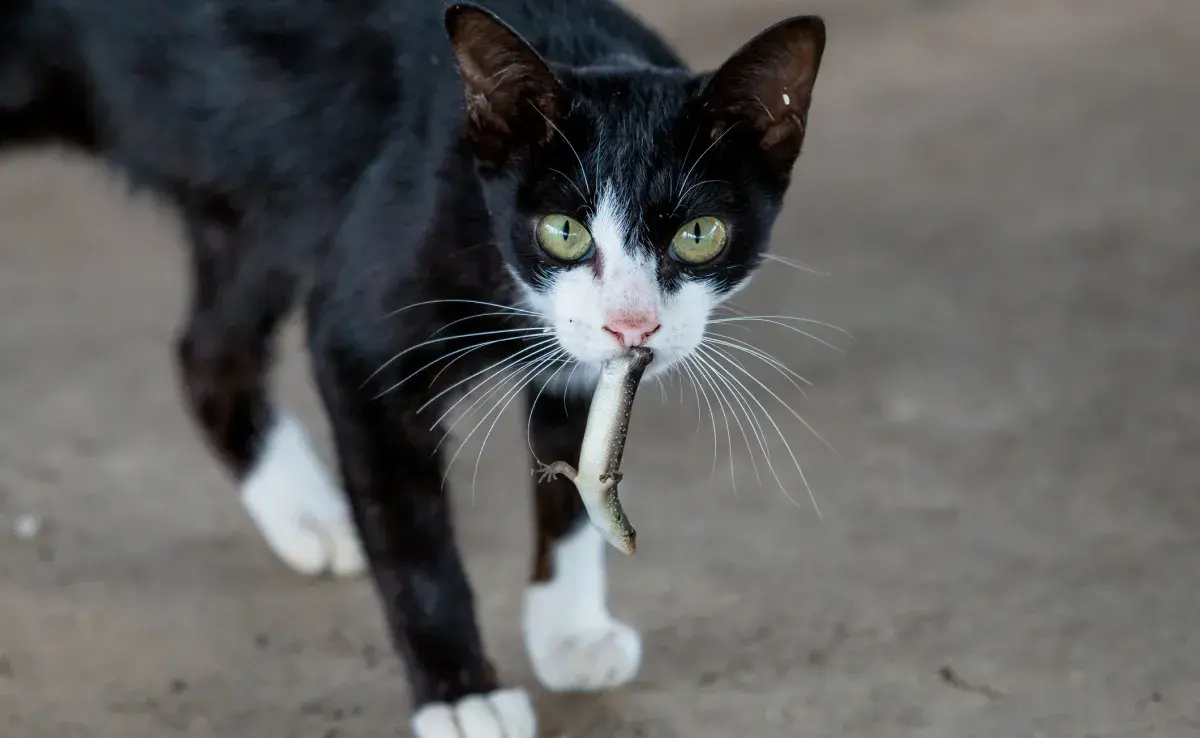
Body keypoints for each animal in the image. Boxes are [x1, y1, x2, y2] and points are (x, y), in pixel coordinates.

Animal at [0, 0, 825, 734]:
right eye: (563, 231)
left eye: (699, 234)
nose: (633, 324)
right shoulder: (363, 339)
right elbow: (412, 533)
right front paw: (461, 696)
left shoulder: (576, 361)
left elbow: (573, 478)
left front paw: (566, 631)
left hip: (254, 201)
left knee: (208, 350)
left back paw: (309, 515)